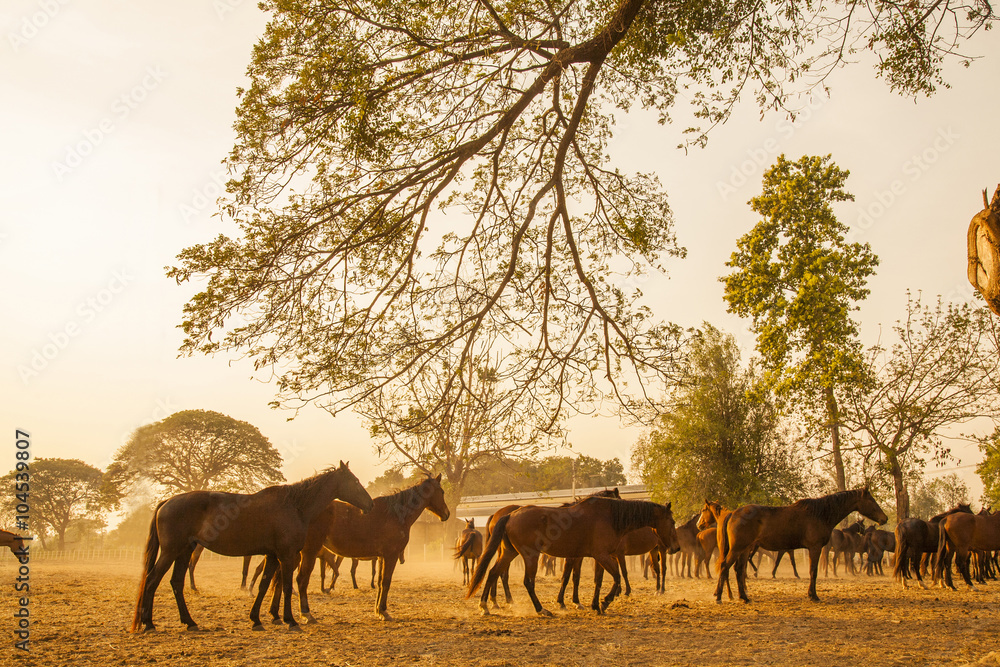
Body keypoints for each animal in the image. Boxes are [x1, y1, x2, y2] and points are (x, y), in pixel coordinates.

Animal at [130, 461, 373, 633]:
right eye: (355, 481)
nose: (370, 504)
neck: (294, 506)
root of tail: (167, 502)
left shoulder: (273, 556)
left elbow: (265, 585)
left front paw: (256, 619)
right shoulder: (286, 556)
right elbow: (286, 586)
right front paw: (291, 620)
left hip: (184, 551)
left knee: (176, 583)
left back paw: (190, 622)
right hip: (171, 551)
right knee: (151, 580)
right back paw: (149, 624)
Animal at [290, 474, 450, 622]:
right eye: (441, 491)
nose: (446, 514)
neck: (396, 514)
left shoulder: (381, 557)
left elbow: (379, 582)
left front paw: (378, 610)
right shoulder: (390, 556)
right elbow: (386, 582)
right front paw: (383, 611)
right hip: (309, 552)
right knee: (302, 579)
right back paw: (306, 613)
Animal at [467, 497, 680, 616]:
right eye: (672, 521)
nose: (676, 547)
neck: (611, 517)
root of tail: (511, 515)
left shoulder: (598, 558)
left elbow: (598, 581)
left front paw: (595, 605)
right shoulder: (603, 556)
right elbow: (617, 577)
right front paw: (605, 601)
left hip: (510, 553)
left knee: (493, 573)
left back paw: (485, 606)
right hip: (530, 556)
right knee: (527, 582)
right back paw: (541, 609)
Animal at [714, 488, 887, 603]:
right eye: (871, 500)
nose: (884, 518)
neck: (821, 513)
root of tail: (734, 513)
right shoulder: (815, 548)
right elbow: (813, 572)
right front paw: (813, 596)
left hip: (744, 550)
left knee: (738, 570)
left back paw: (744, 597)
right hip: (738, 549)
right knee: (724, 567)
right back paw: (719, 596)